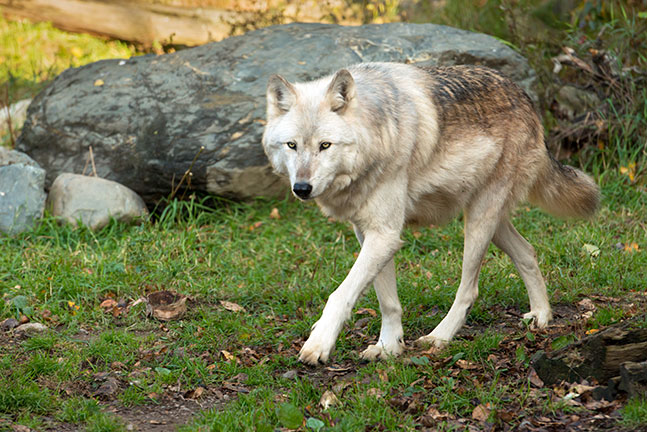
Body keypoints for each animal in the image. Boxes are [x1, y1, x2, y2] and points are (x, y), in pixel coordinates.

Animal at [260, 61, 600, 364]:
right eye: (291, 145)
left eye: (325, 145)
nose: (302, 188)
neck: (378, 130)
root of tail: (525, 97)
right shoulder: (371, 233)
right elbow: (387, 301)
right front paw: (388, 348)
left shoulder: (384, 235)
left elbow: (340, 295)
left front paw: (318, 345)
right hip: (491, 222)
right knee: (528, 251)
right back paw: (542, 315)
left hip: (479, 221)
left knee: (469, 290)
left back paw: (440, 336)